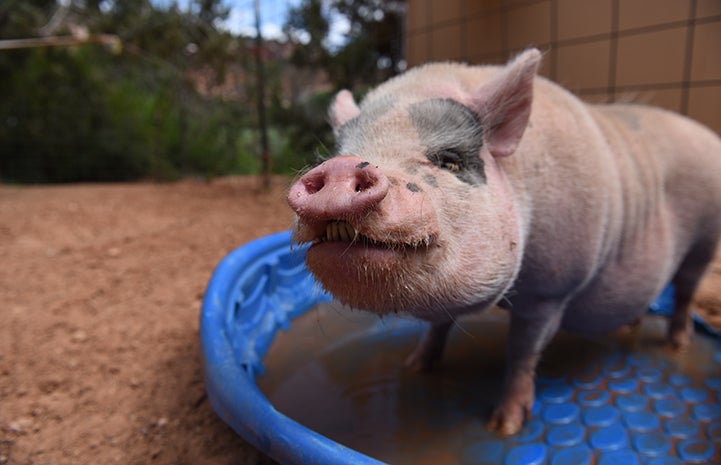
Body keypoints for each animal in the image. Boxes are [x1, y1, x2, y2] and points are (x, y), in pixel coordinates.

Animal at [286, 48, 721, 436]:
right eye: (342, 152)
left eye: (449, 160)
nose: (342, 167)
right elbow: (438, 326)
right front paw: (415, 367)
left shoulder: (552, 289)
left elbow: (522, 351)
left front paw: (505, 426)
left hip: (705, 239)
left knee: (685, 290)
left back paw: (678, 346)